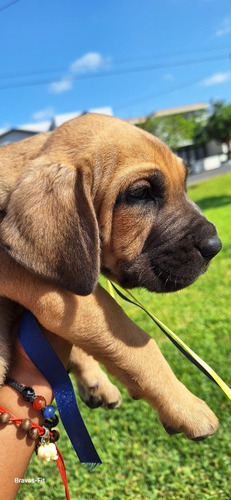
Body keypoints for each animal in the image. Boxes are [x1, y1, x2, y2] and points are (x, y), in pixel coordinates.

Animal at [0, 113, 221, 438]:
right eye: (140, 194)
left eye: (185, 184)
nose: (216, 246)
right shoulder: (65, 296)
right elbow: (136, 343)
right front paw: (186, 407)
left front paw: (94, 379)